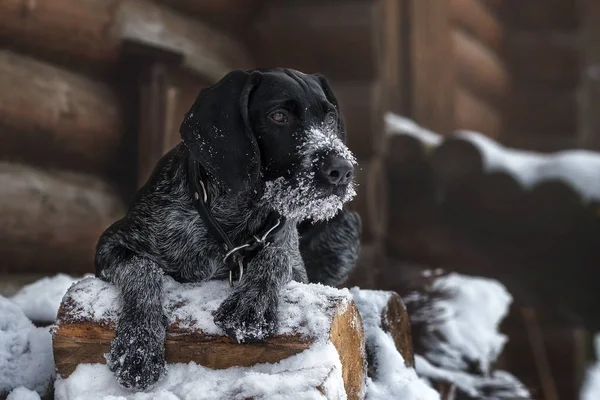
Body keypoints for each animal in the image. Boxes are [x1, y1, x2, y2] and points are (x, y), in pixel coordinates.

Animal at [95, 69, 360, 390]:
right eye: (279, 116)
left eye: (330, 117)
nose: (342, 170)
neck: (232, 213)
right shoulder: (112, 243)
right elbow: (142, 270)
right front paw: (138, 345)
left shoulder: (296, 267)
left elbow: (277, 256)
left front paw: (251, 304)